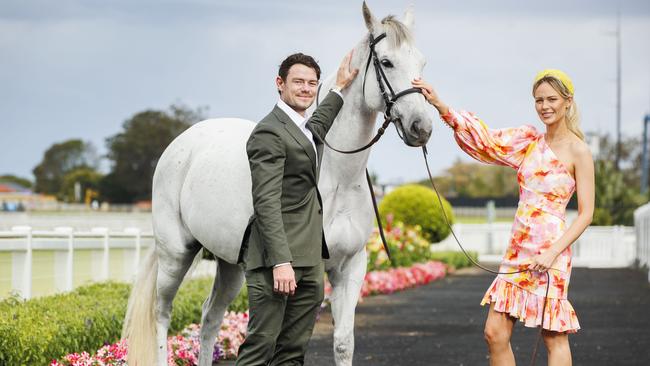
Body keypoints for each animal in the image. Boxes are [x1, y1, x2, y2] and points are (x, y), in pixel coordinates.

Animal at [124, 3, 432, 366]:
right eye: (386, 62)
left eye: (421, 63)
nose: (421, 127)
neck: (338, 178)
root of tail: (181, 143)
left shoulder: (351, 267)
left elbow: (343, 342)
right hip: (175, 252)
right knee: (162, 312)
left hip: (230, 264)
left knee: (210, 316)